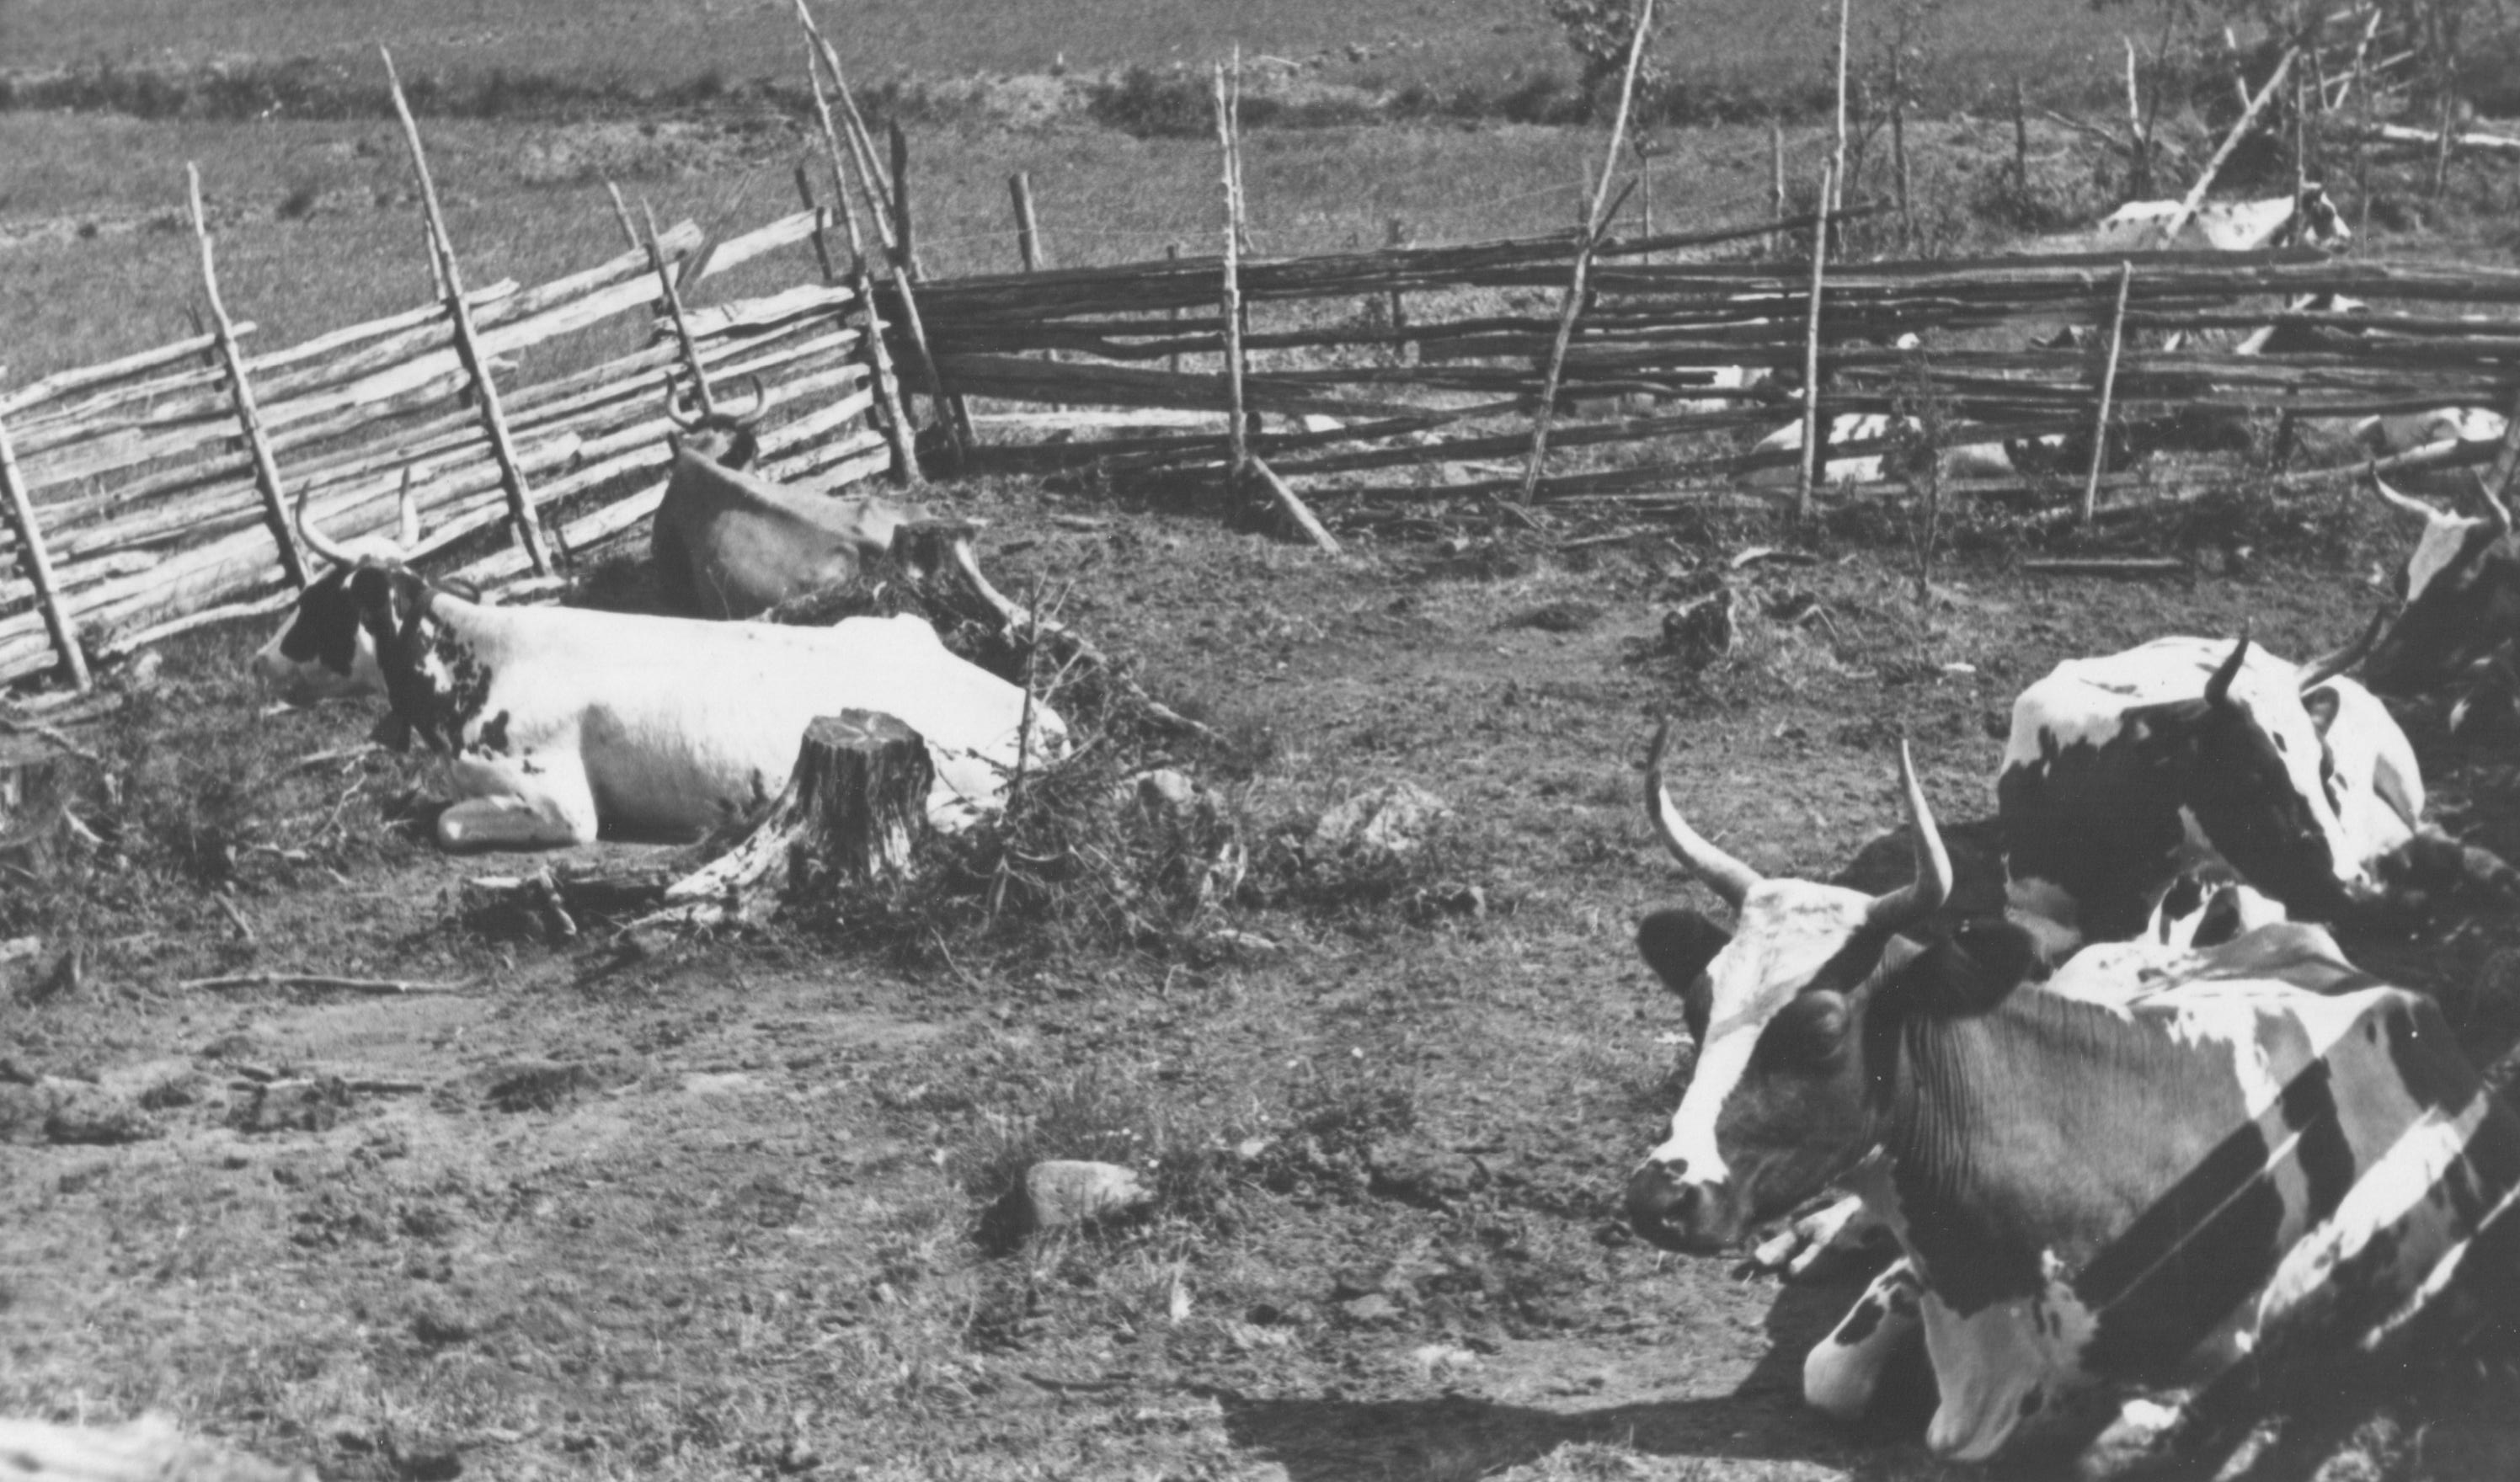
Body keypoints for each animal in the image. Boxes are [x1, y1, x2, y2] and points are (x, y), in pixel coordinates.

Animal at [252, 494, 1061, 850]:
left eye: (316, 601)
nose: (260, 660)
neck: (479, 662)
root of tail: (1038, 714)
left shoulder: (560, 805)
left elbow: (449, 824)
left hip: (957, 796)